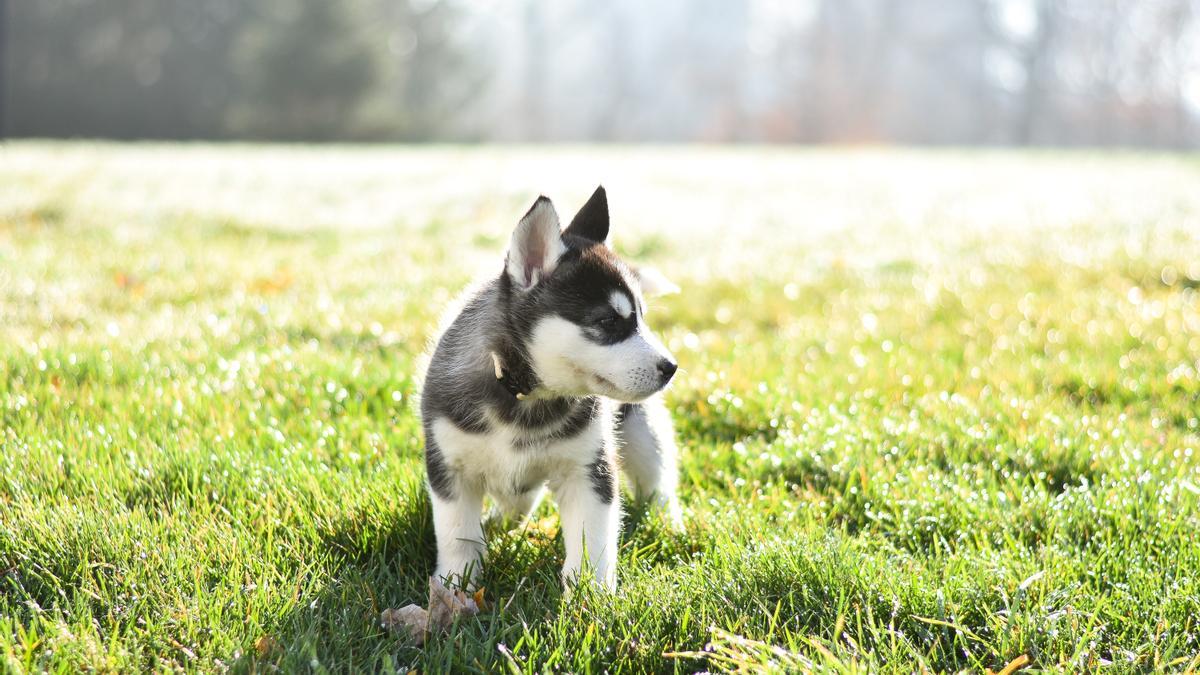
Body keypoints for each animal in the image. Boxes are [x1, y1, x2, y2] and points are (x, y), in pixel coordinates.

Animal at [422, 184, 686, 588]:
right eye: (609, 321)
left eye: (642, 318)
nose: (670, 367)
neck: (523, 396)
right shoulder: (449, 465)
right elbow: (457, 535)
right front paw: (454, 586)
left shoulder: (589, 469)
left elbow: (592, 540)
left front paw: (591, 594)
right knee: (517, 497)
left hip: (640, 430)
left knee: (658, 481)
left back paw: (669, 525)